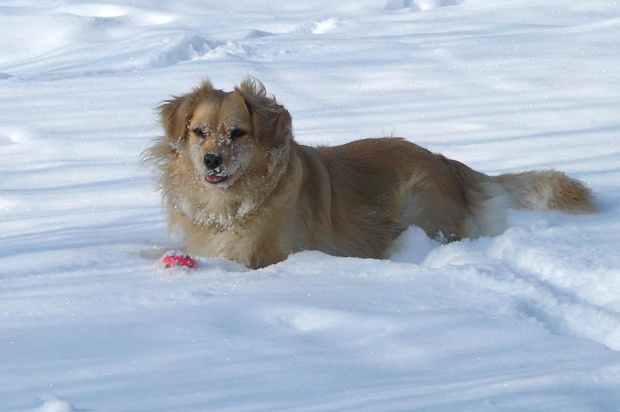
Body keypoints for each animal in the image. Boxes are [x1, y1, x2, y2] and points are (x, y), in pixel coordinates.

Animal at [143, 77, 592, 270]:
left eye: (238, 133)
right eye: (200, 132)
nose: (212, 160)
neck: (234, 204)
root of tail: (447, 162)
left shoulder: (286, 252)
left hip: (417, 203)